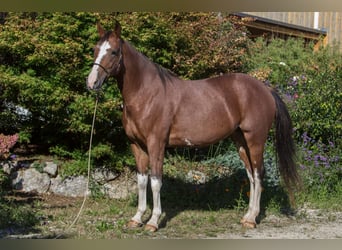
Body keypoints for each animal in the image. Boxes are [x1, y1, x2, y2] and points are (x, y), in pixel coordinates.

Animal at [87, 21, 300, 232]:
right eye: (95, 49)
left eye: (113, 52)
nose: (91, 83)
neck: (146, 94)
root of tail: (266, 89)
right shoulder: (137, 145)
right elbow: (141, 181)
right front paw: (137, 218)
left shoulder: (156, 144)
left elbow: (155, 182)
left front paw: (153, 221)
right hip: (240, 140)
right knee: (251, 175)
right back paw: (247, 216)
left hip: (255, 140)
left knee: (258, 173)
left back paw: (252, 219)